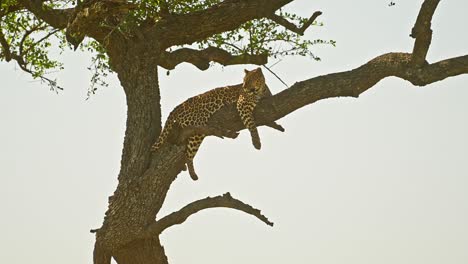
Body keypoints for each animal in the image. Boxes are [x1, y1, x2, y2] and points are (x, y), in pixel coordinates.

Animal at [151, 67, 282, 180]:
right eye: (244, 80)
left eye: (250, 80)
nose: (244, 87)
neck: (260, 90)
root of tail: (178, 107)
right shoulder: (242, 104)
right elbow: (251, 124)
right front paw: (256, 142)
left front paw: (277, 126)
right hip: (197, 128)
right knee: (189, 154)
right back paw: (193, 174)